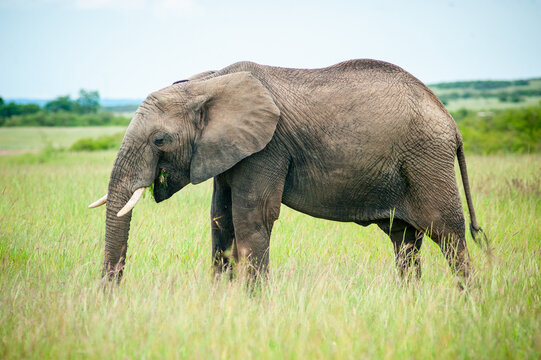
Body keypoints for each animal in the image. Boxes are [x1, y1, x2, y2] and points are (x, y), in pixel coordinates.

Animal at [88, 59, 486, 282]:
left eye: (159, 140)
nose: (110, 295)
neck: (208, 81)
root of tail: (451, 121)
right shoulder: (229, 150)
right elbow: (220, 220)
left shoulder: (267, 148)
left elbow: (252, 218)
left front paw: (252, 305)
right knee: (404, 240)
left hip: (426, 160)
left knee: (448, 235)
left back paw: (467, 301)